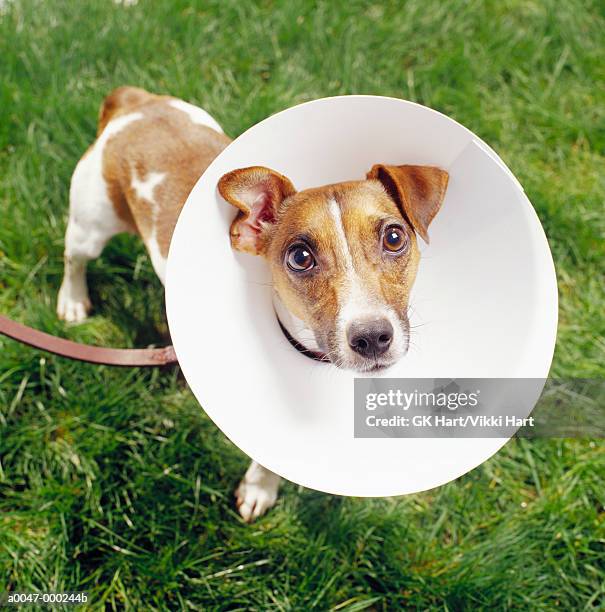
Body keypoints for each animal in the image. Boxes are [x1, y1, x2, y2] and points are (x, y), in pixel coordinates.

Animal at [56, 83, 448, 520]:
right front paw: (259, 488)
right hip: (91, 224)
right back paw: (72, 301)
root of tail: (137, 102)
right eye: (300, 257)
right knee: (73, 258)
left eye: (394, 237)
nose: (372, 338)